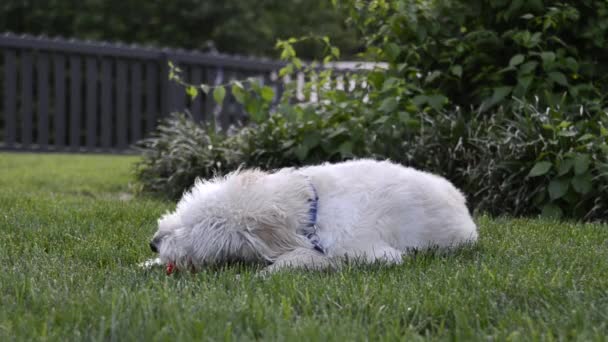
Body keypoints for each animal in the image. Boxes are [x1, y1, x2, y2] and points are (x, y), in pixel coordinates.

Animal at [145, 159, 478, 274]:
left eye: (197, 226)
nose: (153, 243)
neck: (309, 210)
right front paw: (147, 264)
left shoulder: (373, 254)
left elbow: (303, 259)